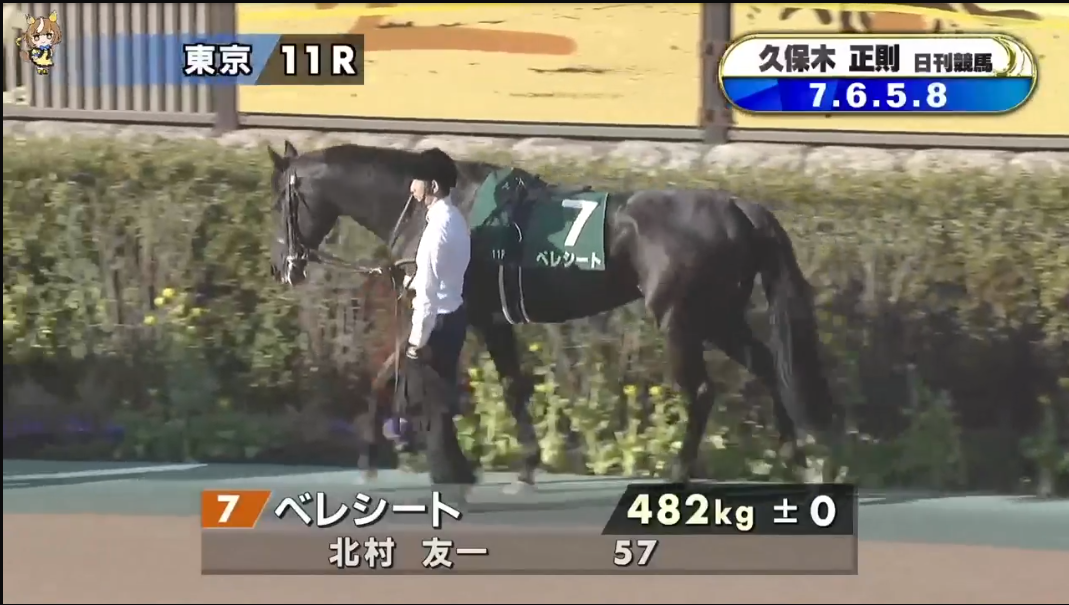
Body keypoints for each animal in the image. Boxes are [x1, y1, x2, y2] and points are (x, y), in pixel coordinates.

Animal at [265, 139, 841, 490]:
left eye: (278, 204)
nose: (280, 266)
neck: (437, 208)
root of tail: (739, 208)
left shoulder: (441, 309)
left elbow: (401, 371)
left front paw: (372, 455)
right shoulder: (489, 320)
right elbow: (507, 384)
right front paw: (524, 466)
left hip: (682, 320)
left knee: (700, 392)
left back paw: (680, 471)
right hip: (720, 316)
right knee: (767, 366)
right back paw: (796, 460)